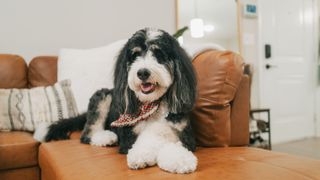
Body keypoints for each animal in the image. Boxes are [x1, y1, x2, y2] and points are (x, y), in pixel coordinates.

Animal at [33, 27, 198, 173]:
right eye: (135, 55)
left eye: (159, 54)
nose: (142, 72)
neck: (151, 104)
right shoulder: (128, 137)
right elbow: (150, 139)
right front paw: (141, 155)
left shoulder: (186, 135)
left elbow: (169, 139)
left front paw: (180, 159)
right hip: (103, 96)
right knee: (87, 134)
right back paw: (106, 137)